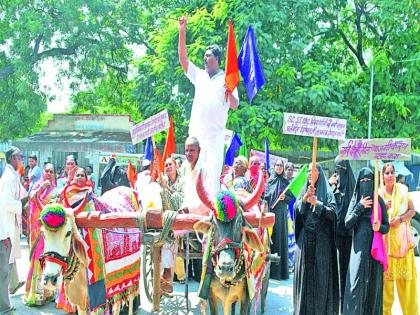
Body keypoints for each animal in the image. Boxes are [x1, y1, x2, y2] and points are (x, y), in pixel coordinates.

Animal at [194, 172, 272, 314]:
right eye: (214, 223)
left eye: (240, 222)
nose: (225, 267)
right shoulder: (211, 295)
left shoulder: (246, 297)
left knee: (263, 292)